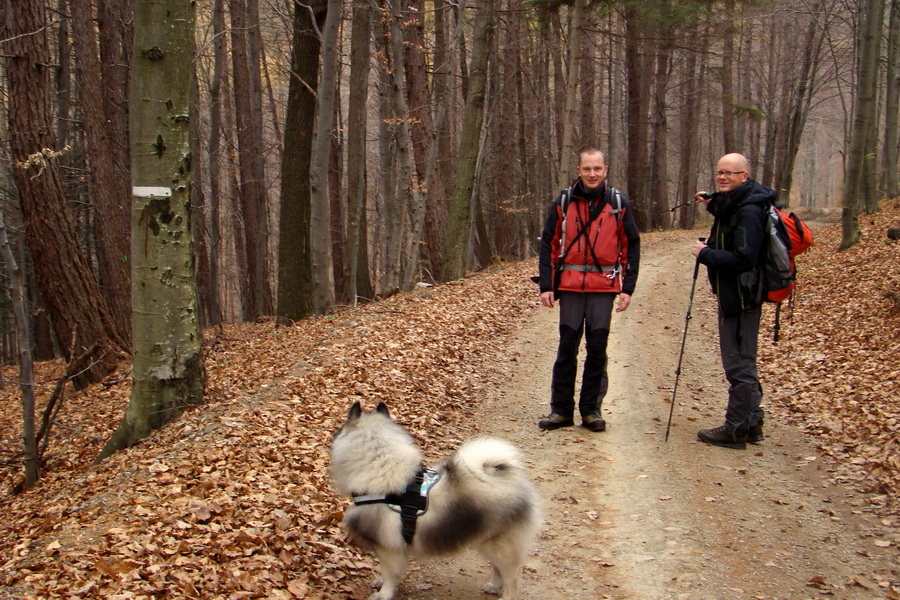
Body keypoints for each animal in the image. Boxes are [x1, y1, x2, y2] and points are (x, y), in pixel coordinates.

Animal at [330, 400, 540, 600]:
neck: (380, 466)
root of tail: (509, 479)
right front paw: (382, 583)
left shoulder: (388, 548)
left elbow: (389, 573)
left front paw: (384, 593)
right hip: (486, 542)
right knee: (498, 569)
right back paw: (494, 586)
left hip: (500, 545)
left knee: (511, 576)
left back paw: (506, 595)